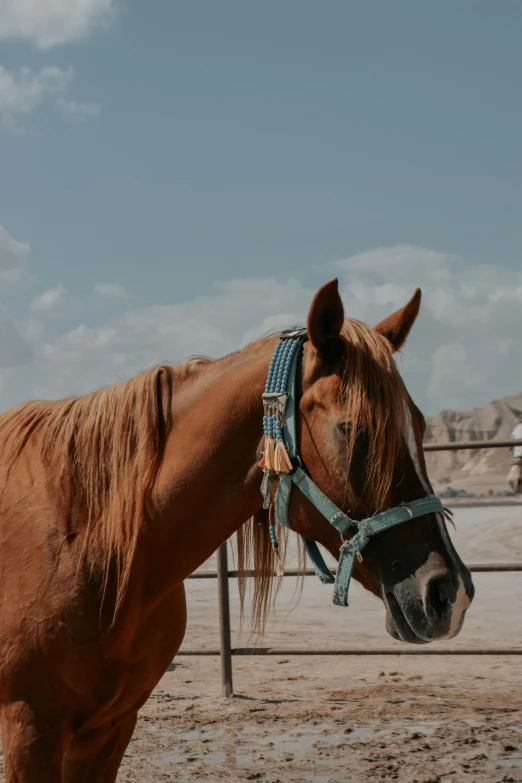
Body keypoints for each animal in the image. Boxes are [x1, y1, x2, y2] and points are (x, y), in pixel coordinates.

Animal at [0, 280, 474, 776]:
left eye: (419, 425)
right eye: (354, 430)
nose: (450, 593)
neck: (92, 546)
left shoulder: (110, 728)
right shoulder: (30, 729)